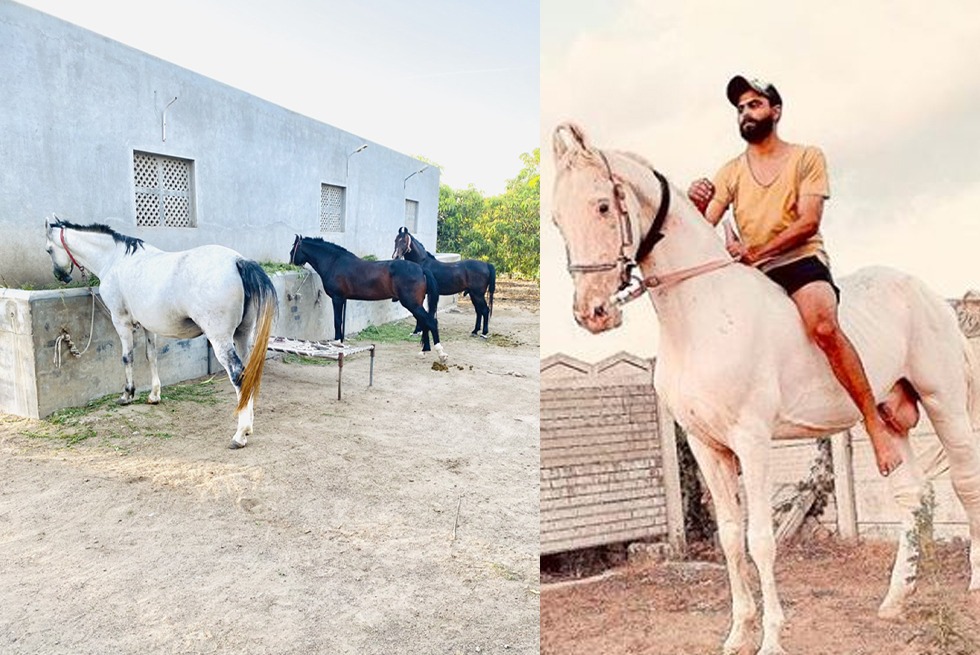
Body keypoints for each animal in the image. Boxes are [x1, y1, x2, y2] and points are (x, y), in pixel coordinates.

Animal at [45, 218, 276, 448]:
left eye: (49, 249)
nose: (60, 276)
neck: (115, 258)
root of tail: (238, 261)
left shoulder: (120, 321)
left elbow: (127, 357)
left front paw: (127, 395)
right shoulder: (149, 326)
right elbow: (152, 356)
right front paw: (154, 395)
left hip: (221, 339)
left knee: (238, 374)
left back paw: (240, 434)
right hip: (242, 335)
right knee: (249, 373)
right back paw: (248, 427)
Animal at [290, 234, 446, 358]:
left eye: (293, 249)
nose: (291, 262)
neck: (335, 262)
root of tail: (421, 269)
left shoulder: (337, 298)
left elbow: (337, 320)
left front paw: (337, 342)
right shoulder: (343, 299)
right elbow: (341, 321)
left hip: (412, 304)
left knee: (431, 322)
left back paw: (440, 353)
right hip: (416, 304)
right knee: (425, 322)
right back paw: (424, 350)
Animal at [548, 123, 980, 655]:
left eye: (603, 206)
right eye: (557, 220)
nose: (592, 313)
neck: (701, 312)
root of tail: (928, 296)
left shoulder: (752, 442)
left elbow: (761, 540)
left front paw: (771, 636)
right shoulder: (706, 445)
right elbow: (731, 537)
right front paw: (738, 632)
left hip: (946, 407)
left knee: (966, 482)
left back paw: (972, 581)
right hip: (890, 418)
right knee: (913, 496)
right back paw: (897, 598)